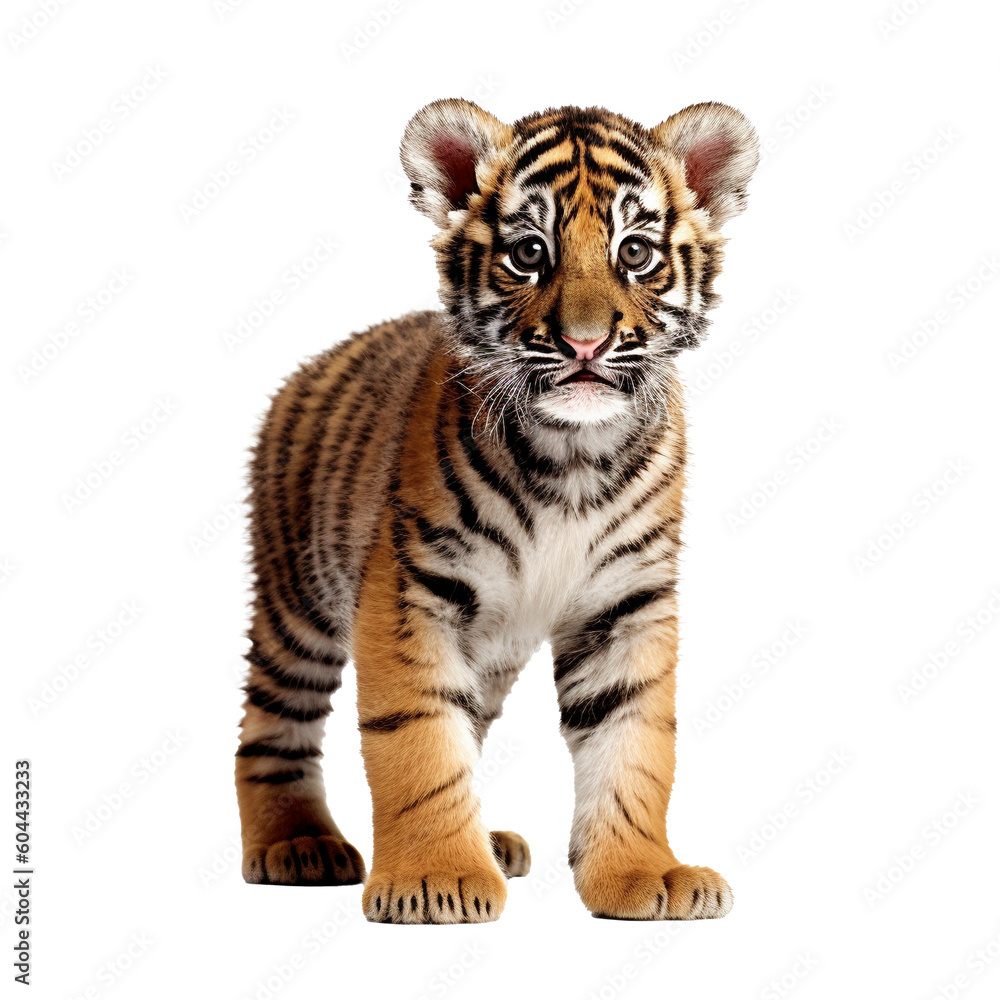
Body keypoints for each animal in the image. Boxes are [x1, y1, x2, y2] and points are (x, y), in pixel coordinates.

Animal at [235, 98, 758, 923]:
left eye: (636, 252)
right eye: (529, 252)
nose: (586, 343)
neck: (574, 456)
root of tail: (309, 366)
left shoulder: (628, 602)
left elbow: (636, 743)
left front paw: (644, 873)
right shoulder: (409, 592)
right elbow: (416, 740)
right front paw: (436, 876)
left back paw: (493, 841)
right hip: (298, 602)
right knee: (271, 727)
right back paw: (298, 844)